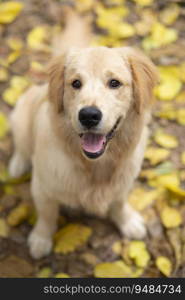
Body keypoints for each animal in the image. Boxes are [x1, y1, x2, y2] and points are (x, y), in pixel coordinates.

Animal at [8, 8, 158, 258]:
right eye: (75, 83)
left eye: (114, 83)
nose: (88, 115)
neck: (94, 166)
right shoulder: (42, 188)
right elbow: (47, 216)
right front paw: (41, 239)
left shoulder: (123, 183)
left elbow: (119, 202)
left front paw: (127, 221)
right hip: (21, 113)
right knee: (21, 146)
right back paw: (17, 164)